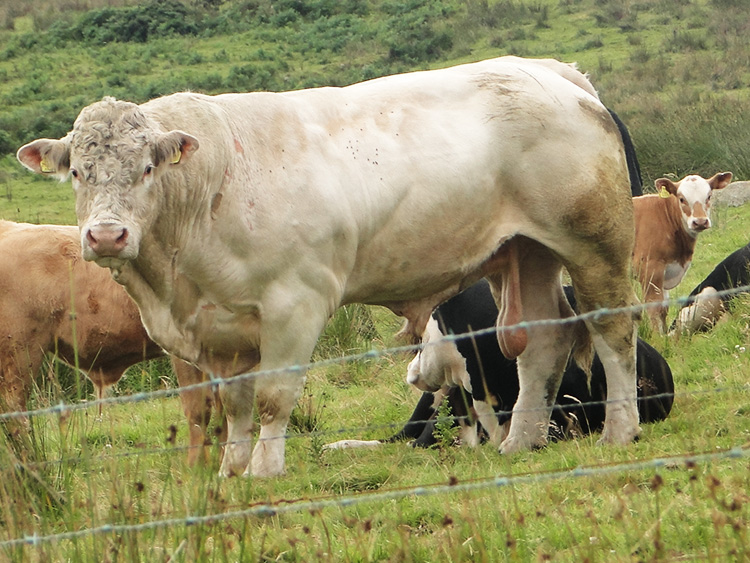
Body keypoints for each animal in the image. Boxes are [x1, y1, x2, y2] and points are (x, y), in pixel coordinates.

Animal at [636, 172, 736, 330]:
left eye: (709, 196)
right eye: (682, 199)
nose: (700, 222)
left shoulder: (665, 272)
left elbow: (663, 309)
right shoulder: (650, 269)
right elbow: (655, 309)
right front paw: (659, 336)